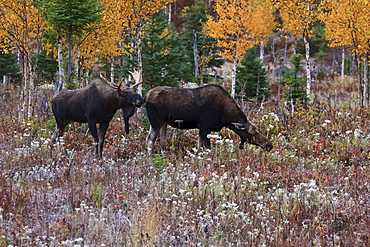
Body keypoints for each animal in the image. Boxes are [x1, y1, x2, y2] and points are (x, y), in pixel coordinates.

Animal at [144, 84, 272, 154]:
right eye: (252, 133)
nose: (269, 145)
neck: (225, 117)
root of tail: (145, 96)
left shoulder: (204, 129)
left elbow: (200, 148)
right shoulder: (205, 126)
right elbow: (206, 148)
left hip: (163, 123)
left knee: (162, 141)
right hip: (156, 122)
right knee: (150, 141)